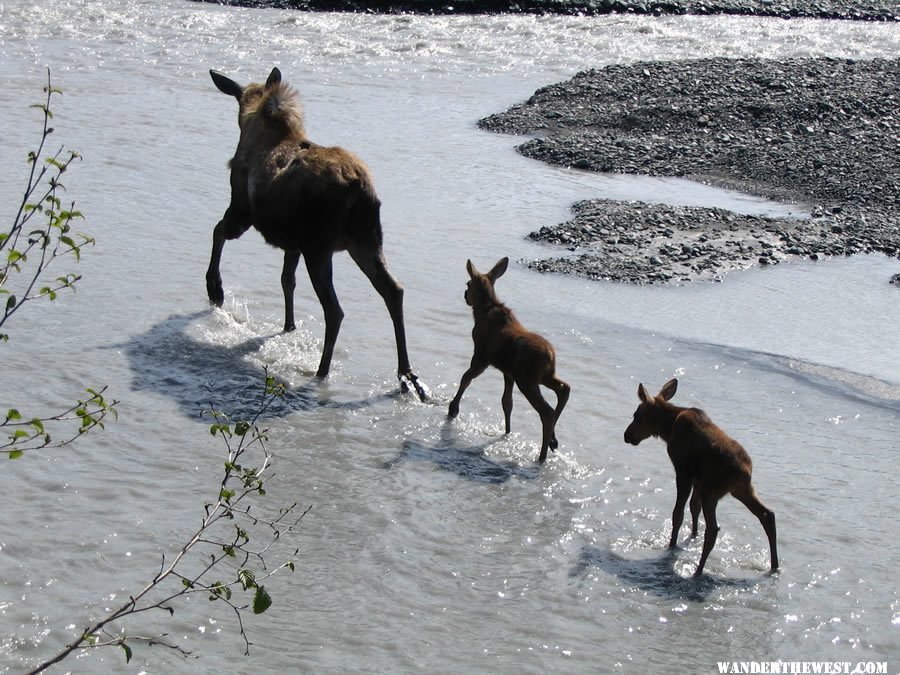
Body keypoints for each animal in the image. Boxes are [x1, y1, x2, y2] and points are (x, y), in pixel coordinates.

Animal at [206, 66, 428, 398]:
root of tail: (358, 188)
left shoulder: (242, 210)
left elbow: (217, 231)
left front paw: (215, 289)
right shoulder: (292, 243)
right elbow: (287, 280)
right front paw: (289, 325)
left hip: (320, 248)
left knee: (335, 310)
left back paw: (322, 371)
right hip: (365, 241)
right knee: (394, 290)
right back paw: (407, 374)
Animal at [448, 258, 568, 464]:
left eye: (468, 284)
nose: (465, 295)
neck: (481, 310)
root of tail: (551, 354)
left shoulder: (481, 356)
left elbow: (466, 378)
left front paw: (453, 408)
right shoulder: (507, 372)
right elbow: (507, 402)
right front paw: (507, 431)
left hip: (527, 380)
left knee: (547, 411)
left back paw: (541, 456)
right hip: (544, 376)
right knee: (564, 389)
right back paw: (553, 441)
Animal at [624, 378, 776, 580]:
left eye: (637, 415)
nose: (627, 435)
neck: (668, 428)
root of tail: (744, 472)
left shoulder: (683, 471)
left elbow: (678, 513)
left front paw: (672, 545)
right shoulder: (697, 479)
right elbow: (693, 508)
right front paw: (692, 535)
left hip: (711, 493)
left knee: (713, 529)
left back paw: (698, 570)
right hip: (741, 490)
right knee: (768, 515)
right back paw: (774, 566)